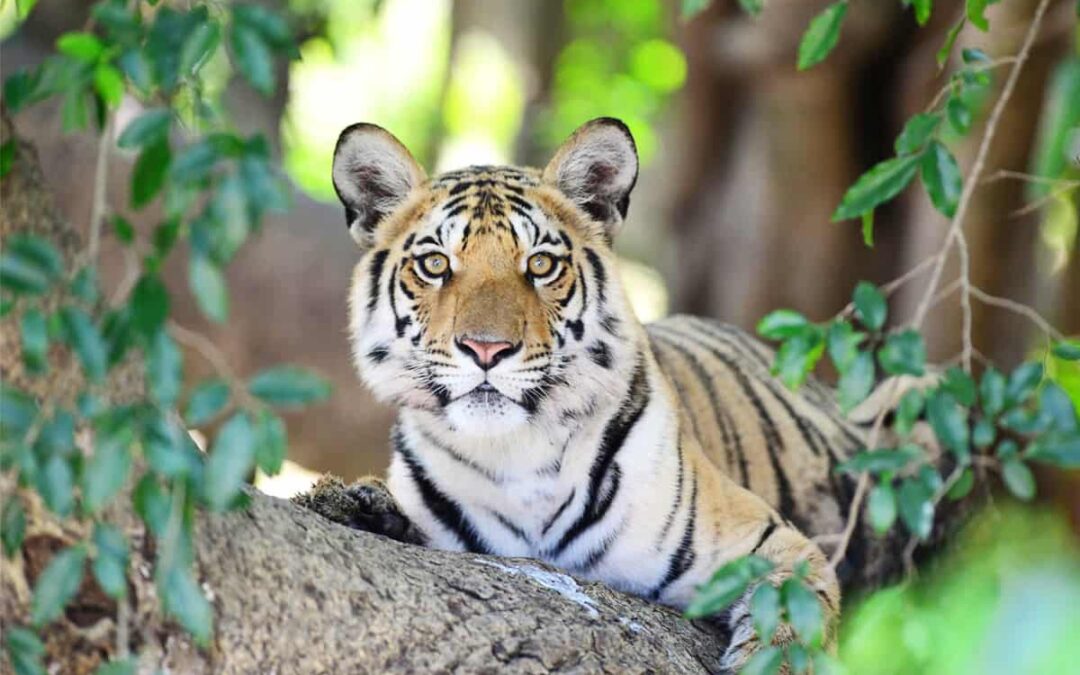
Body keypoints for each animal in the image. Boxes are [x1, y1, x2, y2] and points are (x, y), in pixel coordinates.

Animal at [325, 117, 892, 671]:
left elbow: (790, 619)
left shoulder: (772, 541)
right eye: (436, 265)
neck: (515, 453)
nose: (486, 349)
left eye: (541, 265)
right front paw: (355, 504)